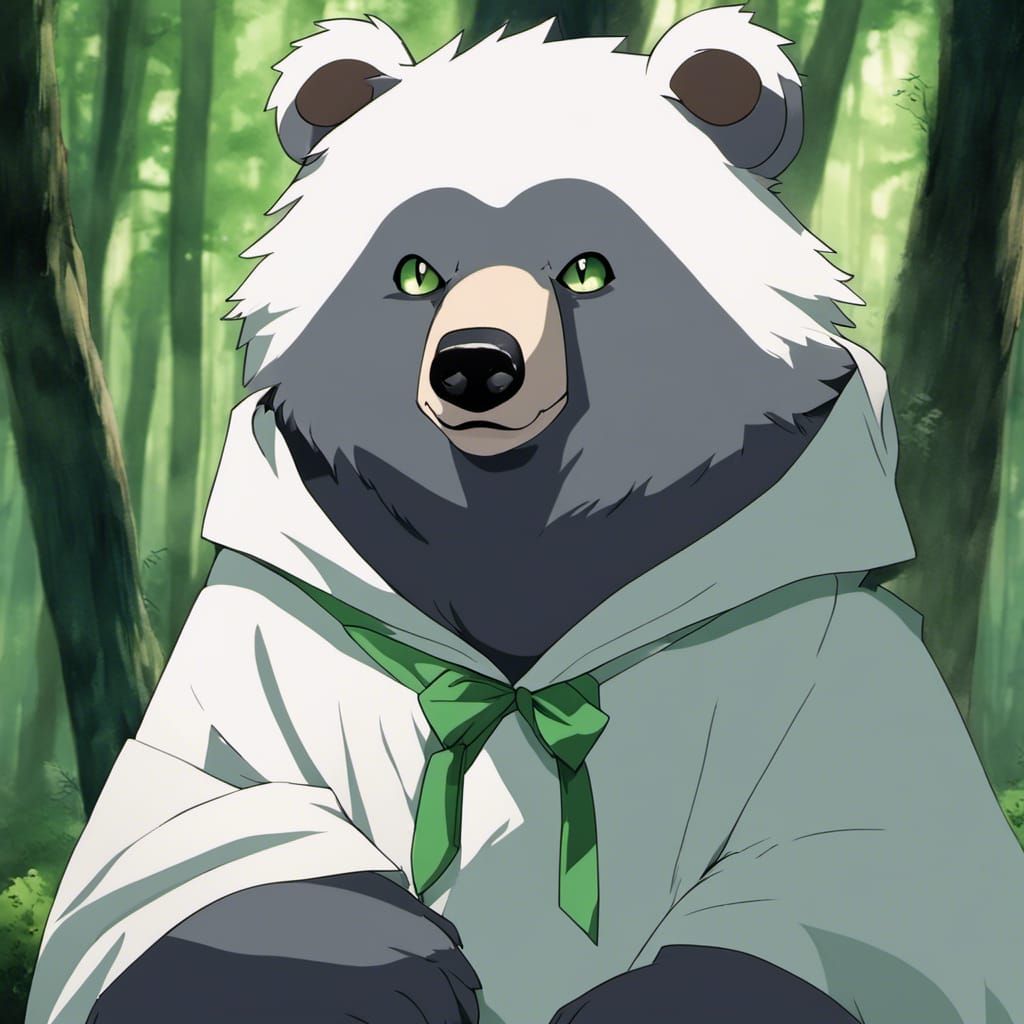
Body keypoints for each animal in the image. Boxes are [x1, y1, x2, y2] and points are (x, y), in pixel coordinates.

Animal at [25, 8, 1024, 1024]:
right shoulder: (267, 630)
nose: (476, 365)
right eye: (415, 271)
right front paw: (383, 960)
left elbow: (866, 862)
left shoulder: (823, 642)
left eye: (587, 269)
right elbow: (187, 830)